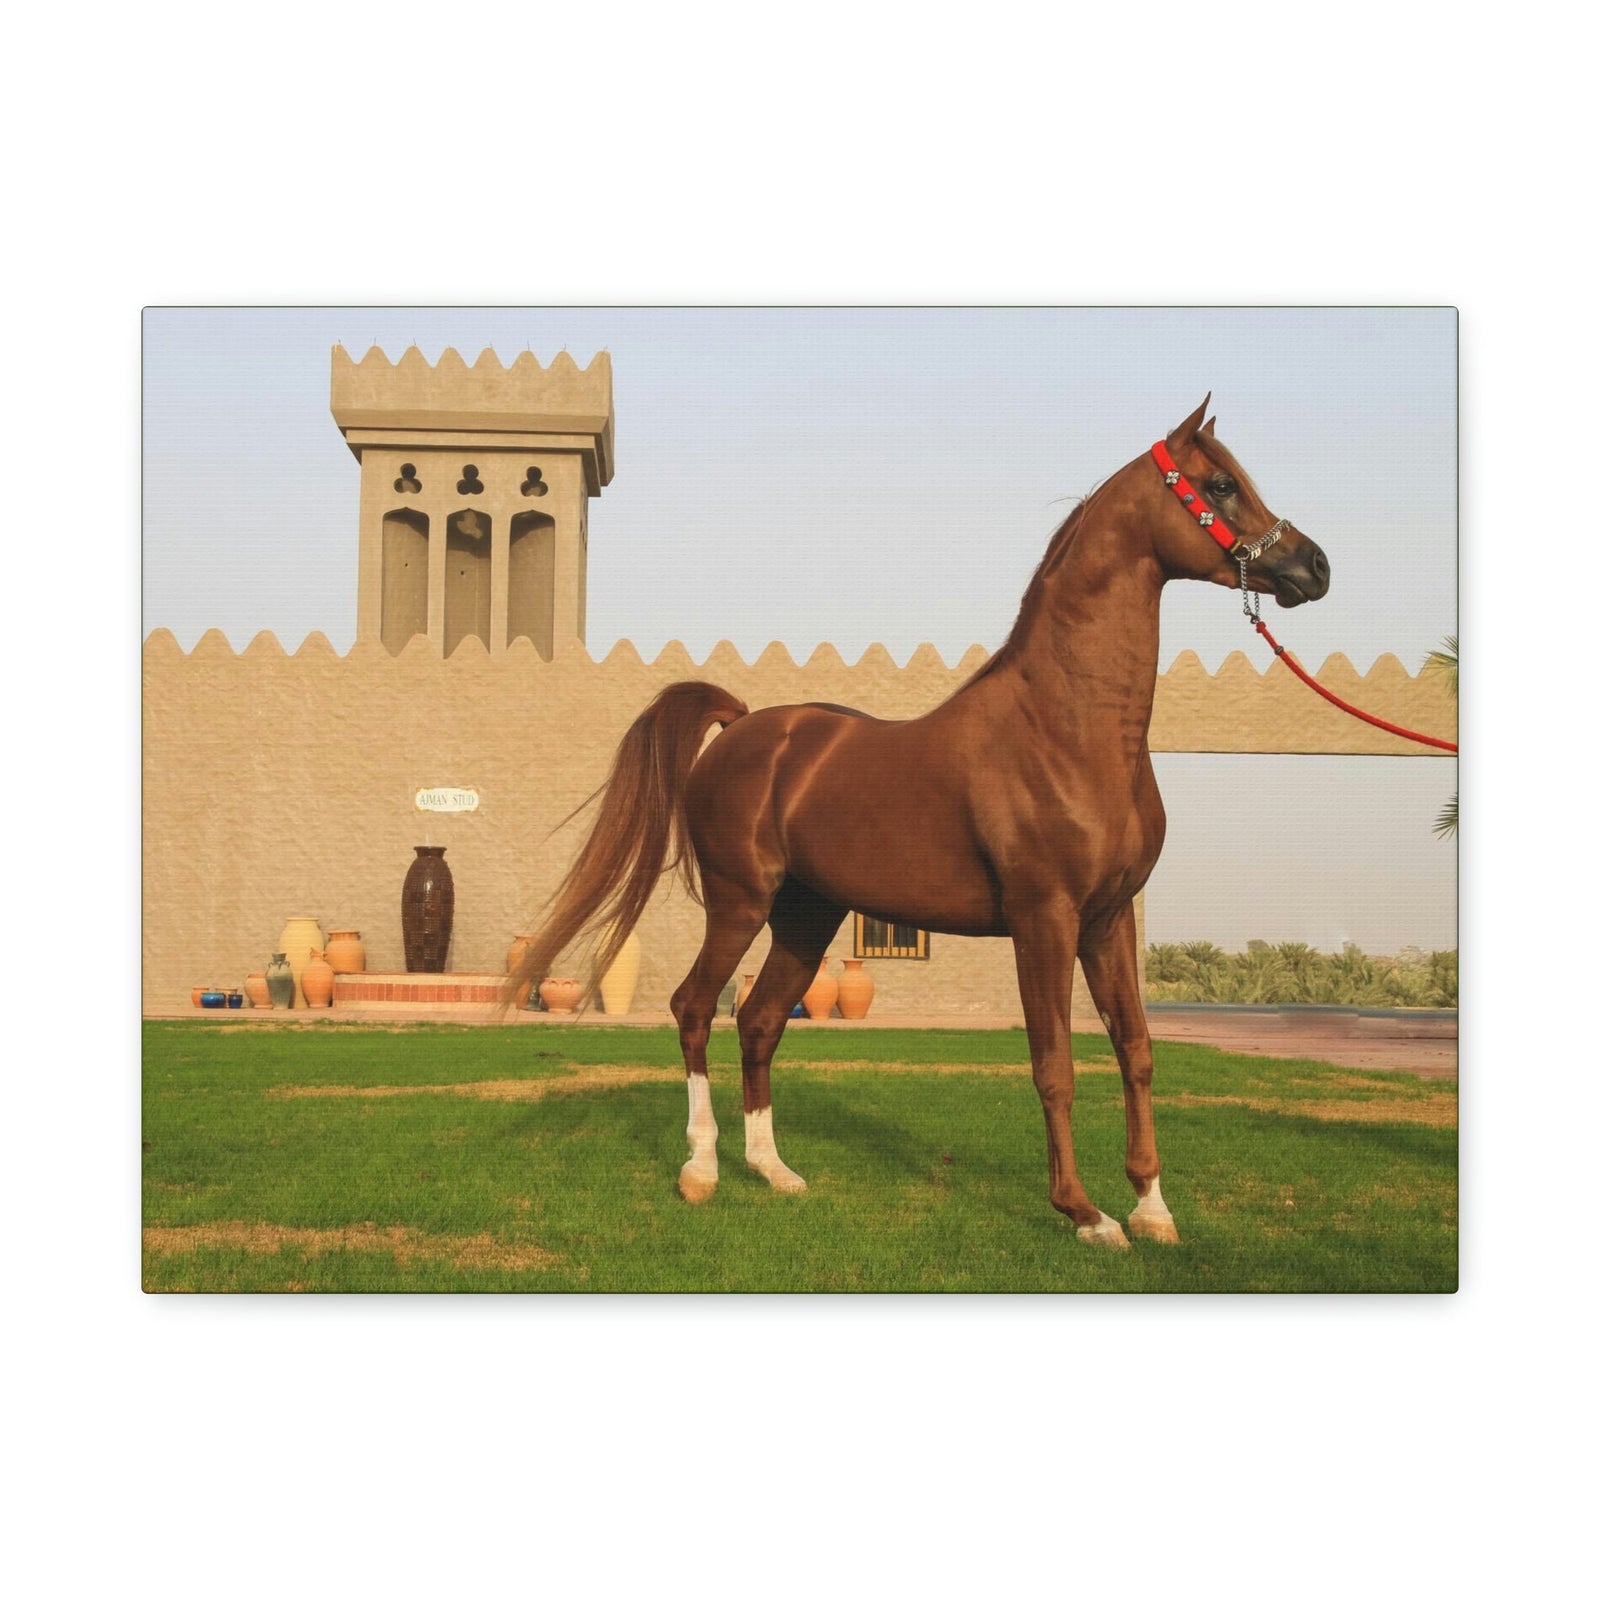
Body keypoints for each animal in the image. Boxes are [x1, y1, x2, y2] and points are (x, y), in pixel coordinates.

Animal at [506, 396, 1331, 1247]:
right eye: (1221, 485)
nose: (1314, 567)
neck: (1070, 728)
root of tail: (741, 725)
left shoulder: (1107, 921)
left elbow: (1135, 1051)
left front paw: (1152, 1207)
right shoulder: (1045, 920)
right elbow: (1055, 1064)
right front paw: (1084, 1211)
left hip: (806, 918)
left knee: (760, 1021)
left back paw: (774, 1170)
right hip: (740, 904)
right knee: (696, 1009)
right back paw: (701, 1169)